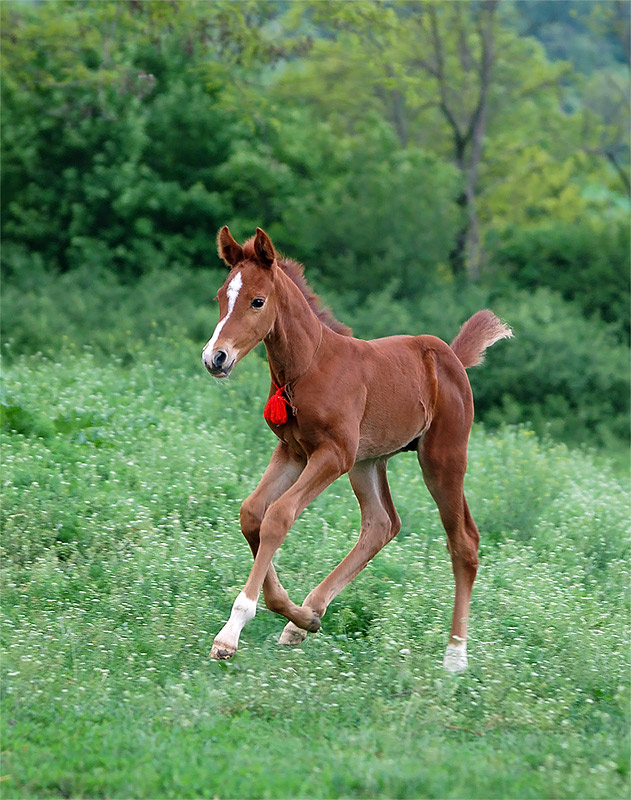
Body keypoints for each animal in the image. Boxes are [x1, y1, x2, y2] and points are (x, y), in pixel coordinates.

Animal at [202, 228, 512, 672]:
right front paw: (296, 613)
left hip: (441, 458)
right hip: (368, 461)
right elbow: (252, 514)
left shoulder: (333, 454)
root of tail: (452, 357)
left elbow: (278, 517)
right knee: (382, 524)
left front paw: (231, 631)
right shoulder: (293, 451)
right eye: (220, 296)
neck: (307, 368)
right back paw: (305, 618)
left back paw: (455, 656)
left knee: (464, 541)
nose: (216, 357)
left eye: (257, 301)